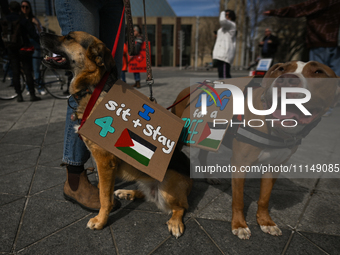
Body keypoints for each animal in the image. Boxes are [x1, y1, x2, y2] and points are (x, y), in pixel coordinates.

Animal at [39, 31, 193, 237]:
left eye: (69, 37)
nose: (40, 33)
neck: (93, 87)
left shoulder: (104, 161)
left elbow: (104, 196)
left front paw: (101, 220)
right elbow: (103, 189)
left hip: (168, 188)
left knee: (181, 207)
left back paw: (175, 221)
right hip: (143, 180)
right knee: (145, 193)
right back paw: (129, 193)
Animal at [173, 60, 340, 239]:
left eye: (319, 72)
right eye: (281, 69)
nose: (287, 79)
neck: (276, 129)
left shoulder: (274, 167)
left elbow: (265, 198)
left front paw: (266, 222)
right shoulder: (240, 164)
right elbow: (238, 199)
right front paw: (239, 225)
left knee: (203, 155)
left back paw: (209, 177)